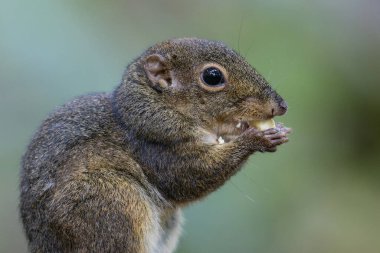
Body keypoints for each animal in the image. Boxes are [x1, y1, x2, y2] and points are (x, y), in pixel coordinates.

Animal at [19, 36, 290, 252]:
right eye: (212, 76)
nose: (281, 105)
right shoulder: (154, 146)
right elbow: (189, 177)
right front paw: (256, 138)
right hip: (109, 201)